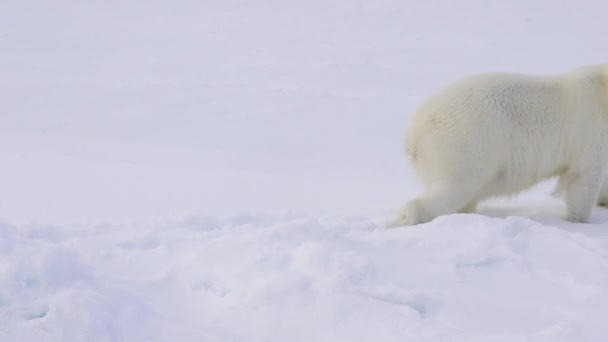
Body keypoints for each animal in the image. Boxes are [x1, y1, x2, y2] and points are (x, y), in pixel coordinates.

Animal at [394, 64, 608, 227]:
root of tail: (414, 131)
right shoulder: (590, 129)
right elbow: (583, 177)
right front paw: (578, 220)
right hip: (463, 144)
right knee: (454, 188)